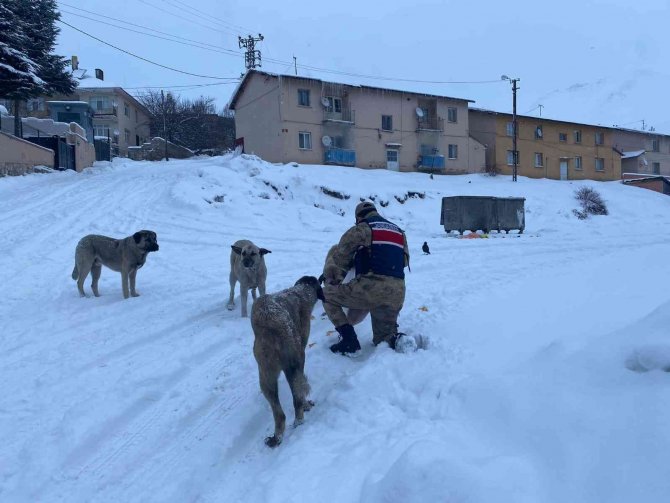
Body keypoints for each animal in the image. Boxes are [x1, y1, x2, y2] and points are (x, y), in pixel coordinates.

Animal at [252, 276, 326, 448]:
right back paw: (301, 416)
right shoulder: (301, 354)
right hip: (293, 365)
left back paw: (277, 436)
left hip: (266, 376)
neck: (301, 292)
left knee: (279, 414)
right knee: (297, 397)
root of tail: (272, 331)